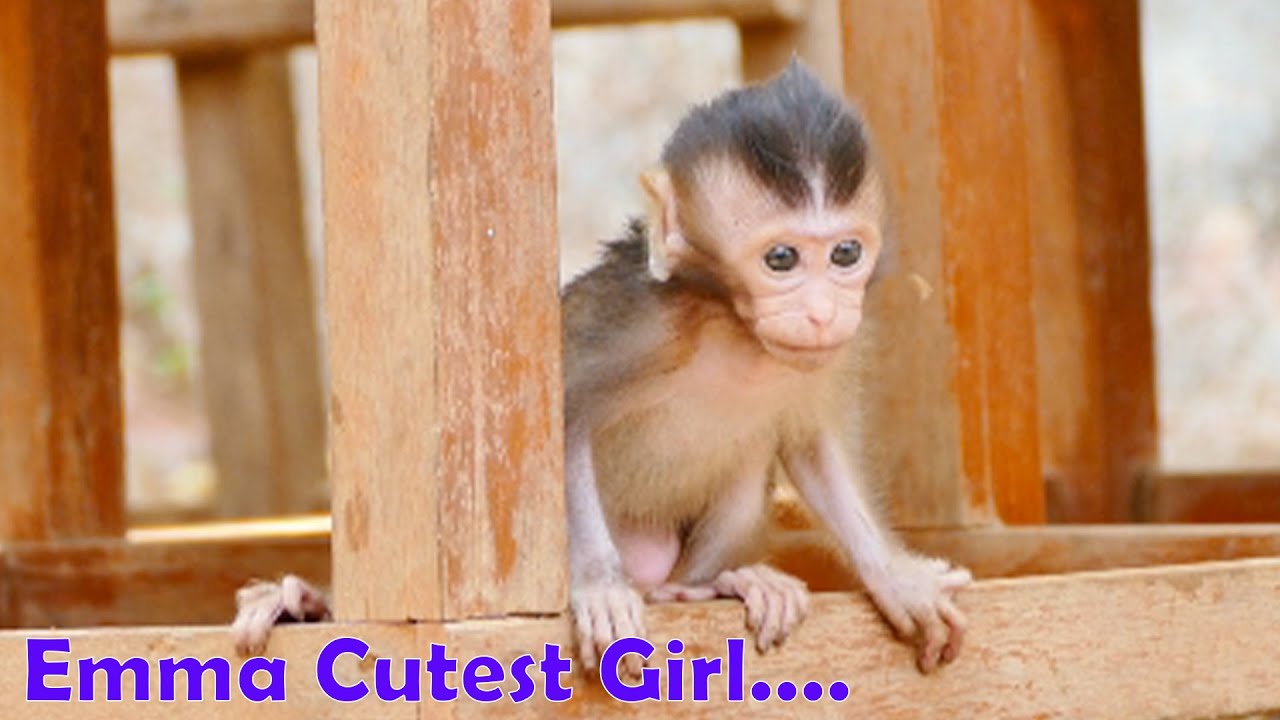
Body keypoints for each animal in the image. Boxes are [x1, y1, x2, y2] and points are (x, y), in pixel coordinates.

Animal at [230, 59, 970, 677]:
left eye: (845, 253)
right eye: (781, 259)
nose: (821, 312)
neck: (732, 325)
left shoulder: (829, 358)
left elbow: (814, 450)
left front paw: (898, 576)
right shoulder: (639, 325)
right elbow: (561, 420)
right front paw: (599, 588)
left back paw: (714, 584)